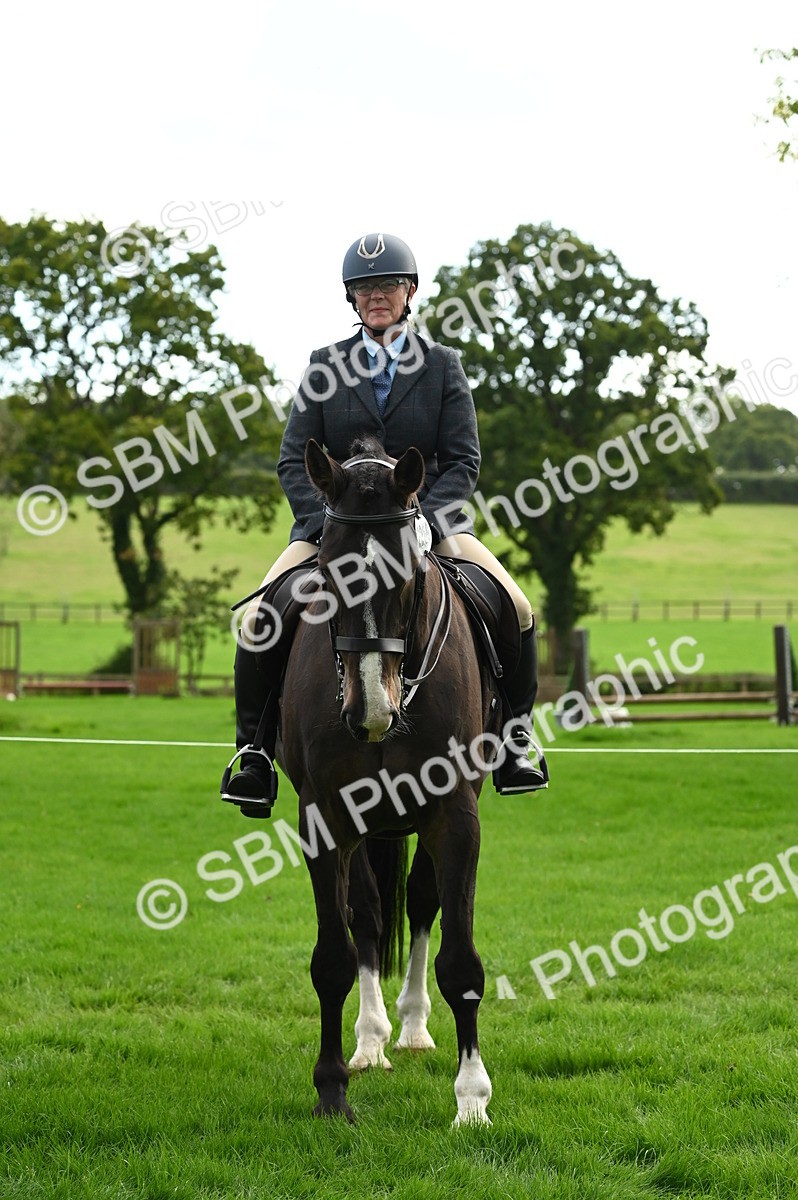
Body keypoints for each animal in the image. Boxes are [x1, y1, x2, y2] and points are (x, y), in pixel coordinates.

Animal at [277, 435, 504, 1126]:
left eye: (408, 574)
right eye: (327, 571)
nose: (371, 711)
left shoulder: (454, 816)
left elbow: (460, 962)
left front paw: (471, 1101)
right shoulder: (326, 818)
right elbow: (333, 956)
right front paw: (331, 1091)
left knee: (422, 903)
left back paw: (411, 1029)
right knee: (370, 917)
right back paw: (371, 1042)